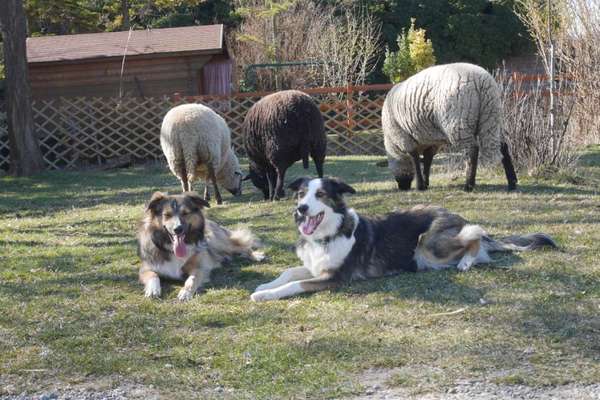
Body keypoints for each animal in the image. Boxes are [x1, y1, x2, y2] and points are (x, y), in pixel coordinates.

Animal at [251, 177, 556, 302]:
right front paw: (265, 284)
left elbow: (295, 284)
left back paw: (466, 262)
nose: (301, 209)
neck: (328, 234)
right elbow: (288, 272)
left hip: (429, 242)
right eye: (301, 194)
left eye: (321, 195)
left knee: (476, 233)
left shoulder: (334, 278)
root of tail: (455, 215)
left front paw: (265, 295)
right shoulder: (316, 268)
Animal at [382, 63, 516, 192]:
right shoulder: (431, 141)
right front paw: (425, 183)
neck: (393, 144)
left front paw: (420, 185)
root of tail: (482, 82)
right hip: (491, 117)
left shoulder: (403, 137)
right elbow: (427, 160)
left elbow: (415, 159)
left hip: (459, 121)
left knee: (472, 150)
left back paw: (468, 186)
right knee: (503, 146)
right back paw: (512, 182)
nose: (403, 187)